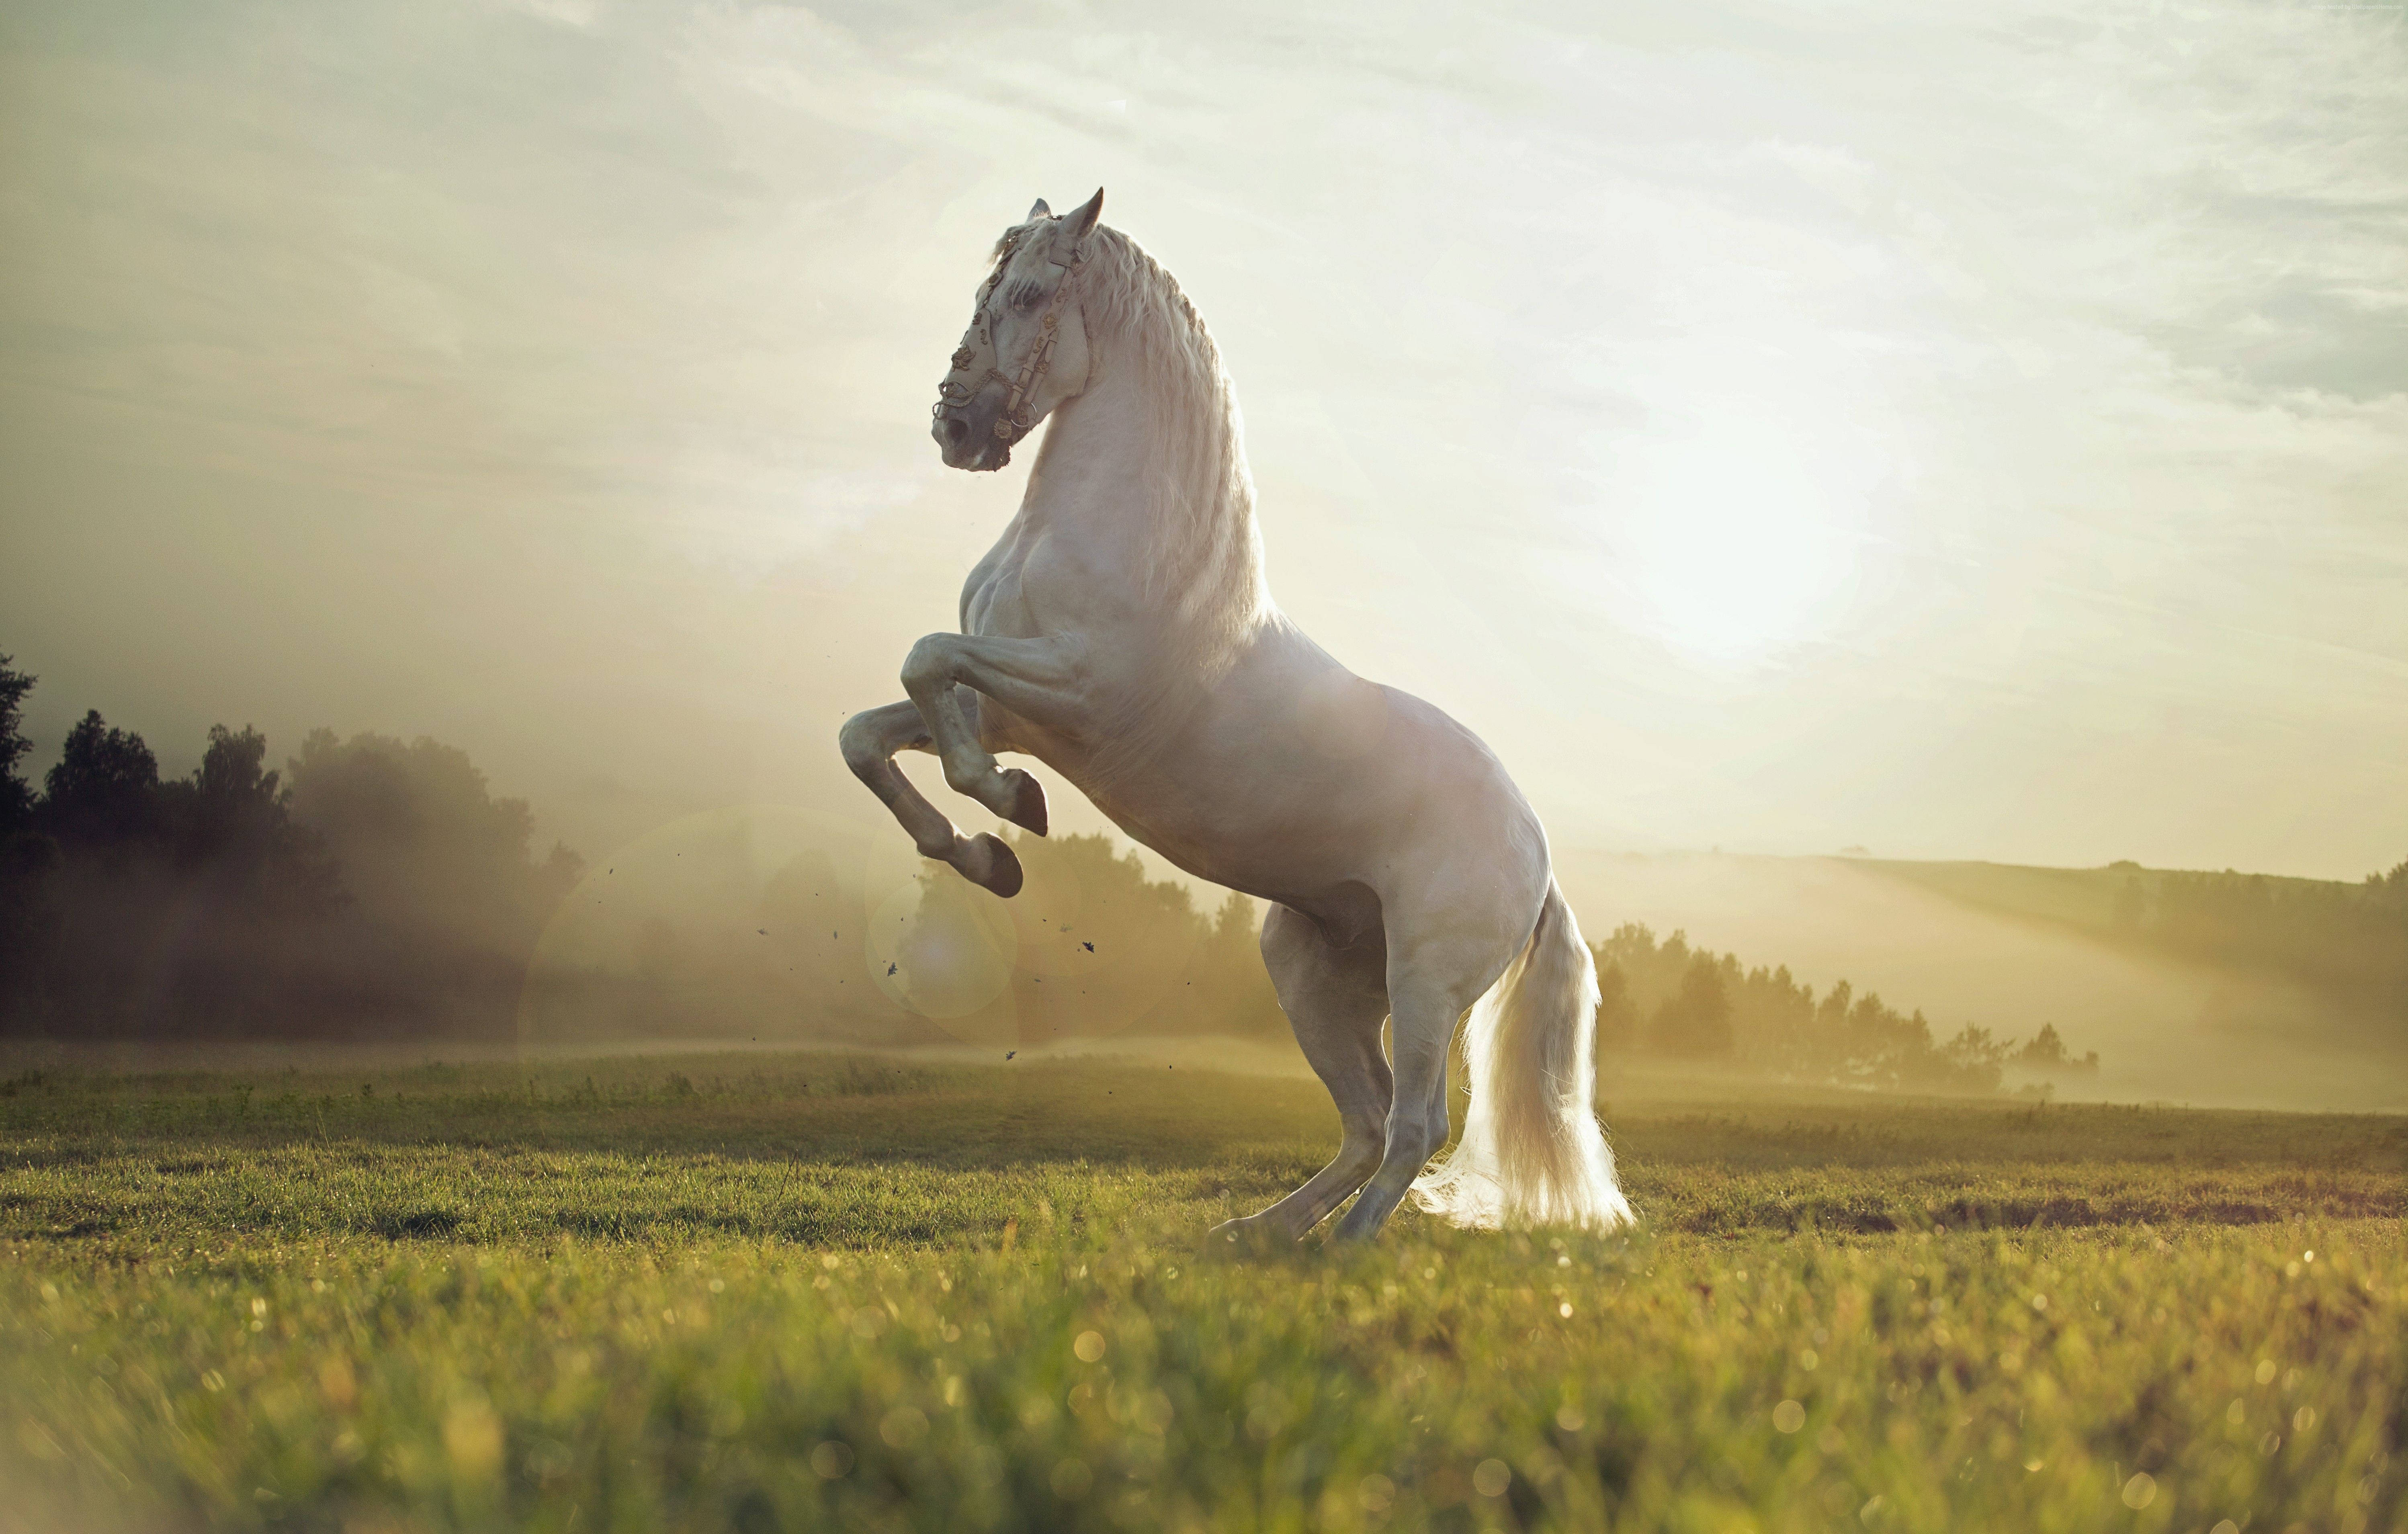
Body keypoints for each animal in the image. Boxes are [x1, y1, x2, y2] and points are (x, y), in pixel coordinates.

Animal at [840, 189, 1632, 1243]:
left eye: (1033, 294)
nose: (956, 426)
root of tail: (1535, 856)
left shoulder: (1073, 693)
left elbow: (927, 663)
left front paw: (1010, 811)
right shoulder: (1007, 708)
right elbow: (872, 731)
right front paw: (983, 854)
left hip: (1425, 982)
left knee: (1415, 1124)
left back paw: (1341, 1252)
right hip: (1310, 971)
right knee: (1367, 1122)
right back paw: (1255, 1237)